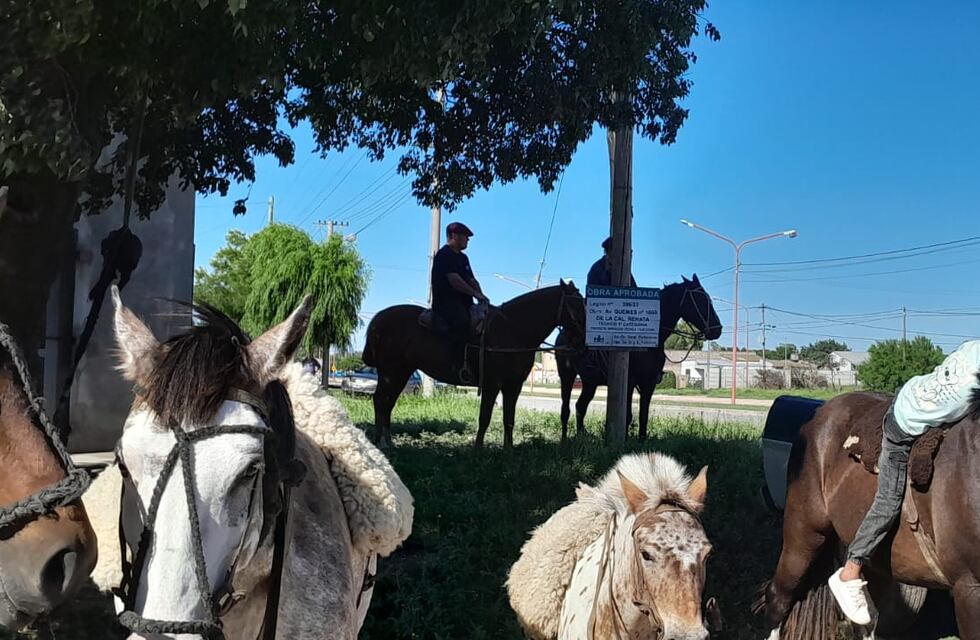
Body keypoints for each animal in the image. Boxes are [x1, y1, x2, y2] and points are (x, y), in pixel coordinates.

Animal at [363, 281, 587, 449]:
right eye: (576, 303)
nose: (584, 339)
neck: (513, 330)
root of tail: (377, 320)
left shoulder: (513, 386)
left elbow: (509, 419)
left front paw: (508, 450)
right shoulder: (492, 384)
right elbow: (485, 417)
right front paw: (478, 450)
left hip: (400, 373)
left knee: (387, 403)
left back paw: (388, 442)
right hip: (390, 373)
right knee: (380, 401)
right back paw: (380, 443)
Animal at [556, 274, 722, 441]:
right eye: (701, 300)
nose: (718, 329)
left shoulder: (649, 384)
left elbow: (644, 416)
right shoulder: (629, 384)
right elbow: (628, 417)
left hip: (590, 382)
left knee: (580, 407)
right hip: (567, 375)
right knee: (565, 410)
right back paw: (564, 440)